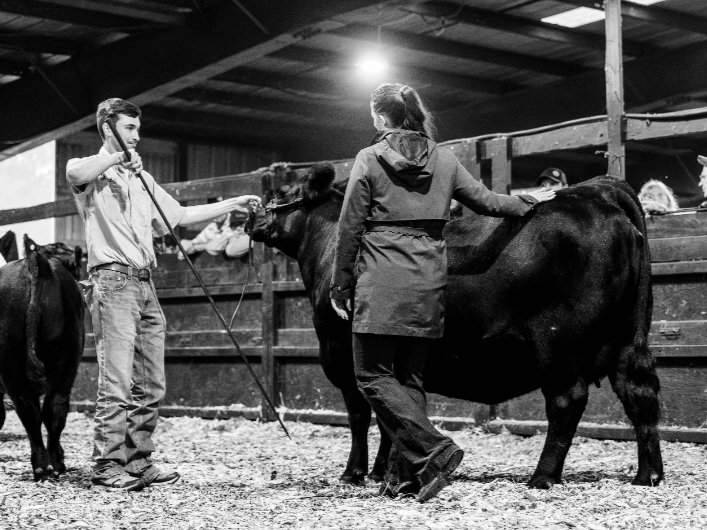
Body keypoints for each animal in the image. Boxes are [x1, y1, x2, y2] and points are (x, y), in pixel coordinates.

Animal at [0, 236, 85, 481]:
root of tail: (37, 263)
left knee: (33, 409)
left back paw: (44, 465)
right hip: (64, 360)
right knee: (50, 408)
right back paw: (52, 464)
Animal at [250, 164, 663, 489]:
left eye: (280, 194)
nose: (249, 215)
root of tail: (595, 190)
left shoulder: (342, 356)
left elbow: (362, 416)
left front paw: (354, 473)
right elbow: (389, 417)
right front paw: (384, 472)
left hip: (558, 344)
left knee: (566, 401)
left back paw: (542, 477)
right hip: (627, 338)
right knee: (638, 394)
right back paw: (648, 476)